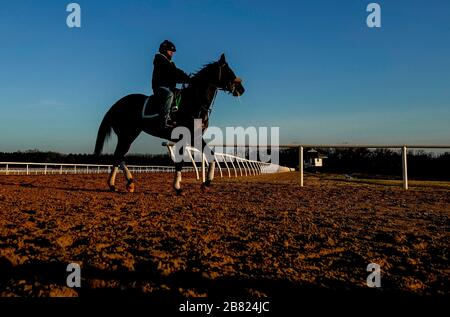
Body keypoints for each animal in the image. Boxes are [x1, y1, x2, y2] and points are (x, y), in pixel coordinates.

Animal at [92, 53, 244, 194]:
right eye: (228, 71)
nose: (241, 89)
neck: (194, 102)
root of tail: (117, 104)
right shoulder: (185, 137)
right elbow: (180, 163)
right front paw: (178, 187)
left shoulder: (195, 137)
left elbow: (210, 155)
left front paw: (206, 184)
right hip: (126, 134)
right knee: (118, 155)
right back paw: (118, 183)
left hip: (130, 135)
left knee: (119, 156)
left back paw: (125, 183)